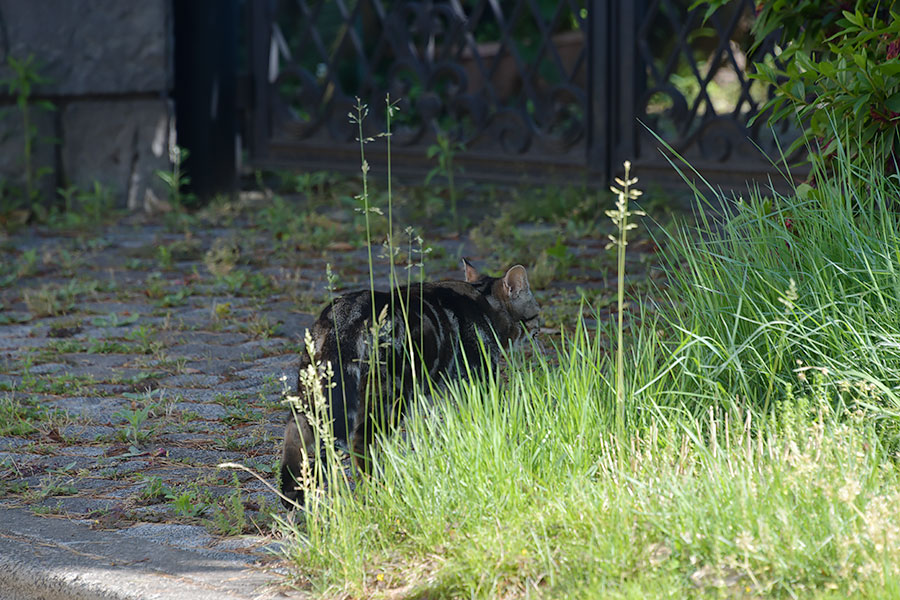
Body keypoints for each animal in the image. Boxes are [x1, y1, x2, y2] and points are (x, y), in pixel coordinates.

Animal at [278, 258, 536, 506]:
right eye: (536, 313)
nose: (538, 328)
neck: (484, 301)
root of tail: (347, 314)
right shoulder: (479, 376)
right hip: (388, 396)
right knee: (360, 442)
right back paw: (379, 490)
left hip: (314, 391)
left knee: (295, 431)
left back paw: (291, 492)